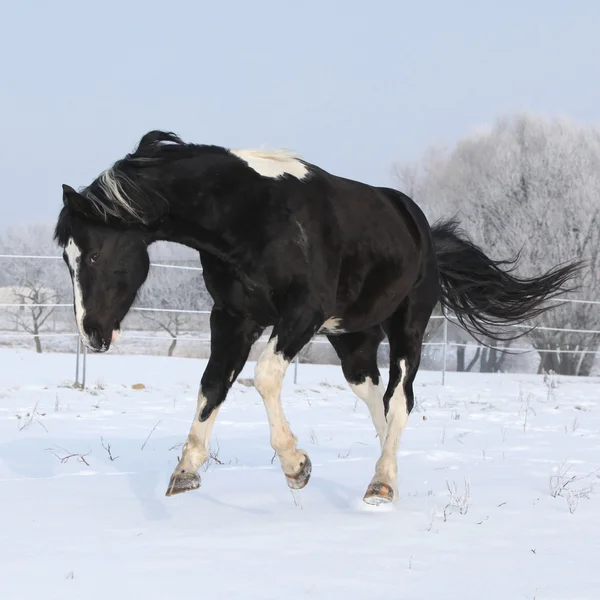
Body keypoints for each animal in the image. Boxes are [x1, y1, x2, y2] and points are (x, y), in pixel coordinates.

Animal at [52, 131, 580, 506]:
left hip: (407, 326)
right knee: (376, 398)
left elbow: (265, 376)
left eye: (94, 254)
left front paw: (296, 467)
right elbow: (212, 385)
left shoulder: (302, 313)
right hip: (353, 338)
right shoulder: (233, 318)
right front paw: (185, 471)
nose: (92, 335)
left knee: (400, 397)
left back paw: (381, 485)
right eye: (66, 258)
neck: (254, 217)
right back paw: (384, 474)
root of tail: (420, 226)